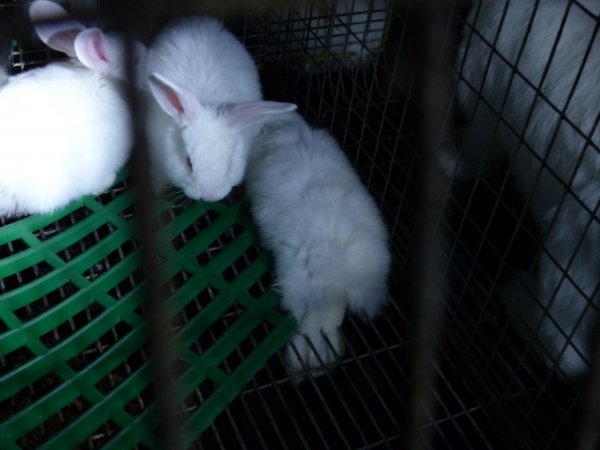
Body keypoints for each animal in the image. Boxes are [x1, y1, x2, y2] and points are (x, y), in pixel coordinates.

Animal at [446, 0, 600, 380]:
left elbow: (476, 152)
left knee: (566, 351)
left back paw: (517, 298)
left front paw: (447, 159)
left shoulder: (485, 98)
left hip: (571, 239)